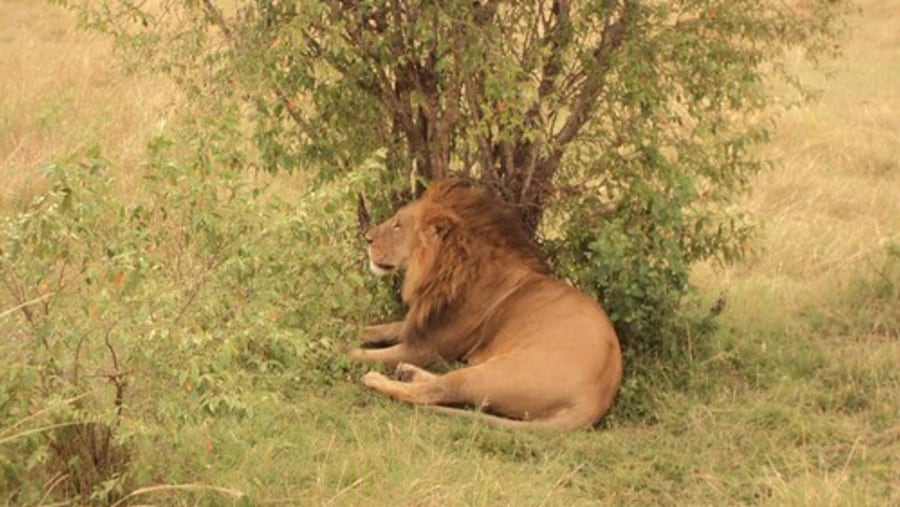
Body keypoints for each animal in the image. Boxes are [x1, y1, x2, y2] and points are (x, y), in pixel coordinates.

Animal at [348, 181, 624, 430]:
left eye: (397, 225)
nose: (366, 238)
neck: (446, 268)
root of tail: (595, 400)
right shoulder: (416, 326)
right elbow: (372, 328)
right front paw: (340, 326)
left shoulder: (426, 348)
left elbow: (360, 353)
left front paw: (341, 349)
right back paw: (407, 372)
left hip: (494, 374)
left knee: (437, 391)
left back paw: (377, 379)